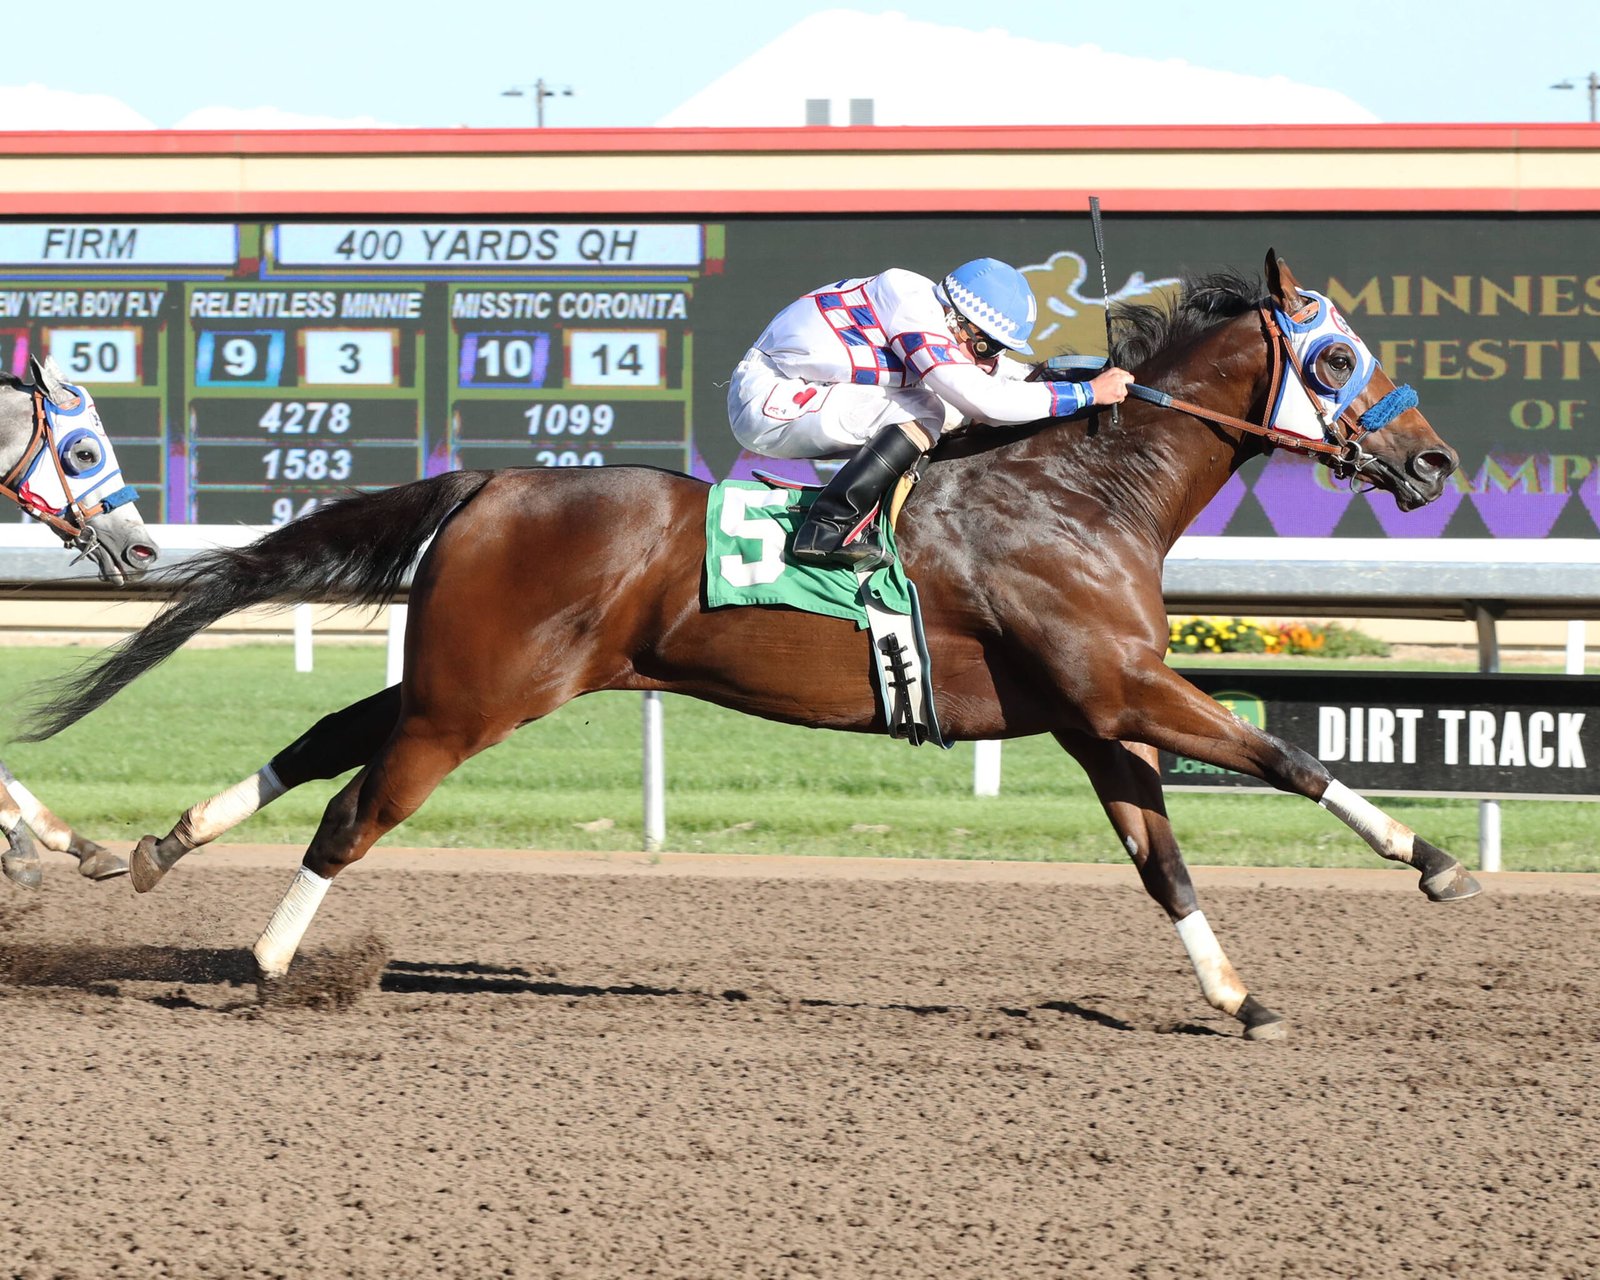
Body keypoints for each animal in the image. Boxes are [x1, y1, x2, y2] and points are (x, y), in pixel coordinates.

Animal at [25, 252, 1472, 1036]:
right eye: (1336, 359)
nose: (1434, 462)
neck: (1081, 492)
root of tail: (490, 479)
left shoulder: (1091, 713)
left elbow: (1161, 861)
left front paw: (1241, 996)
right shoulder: (1125, 683)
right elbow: (1285, 760)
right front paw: (1433, 860)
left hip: (462, 679)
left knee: (327, 740)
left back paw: (156, 847)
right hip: (473, 700)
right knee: (352, 814)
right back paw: (271, 963)